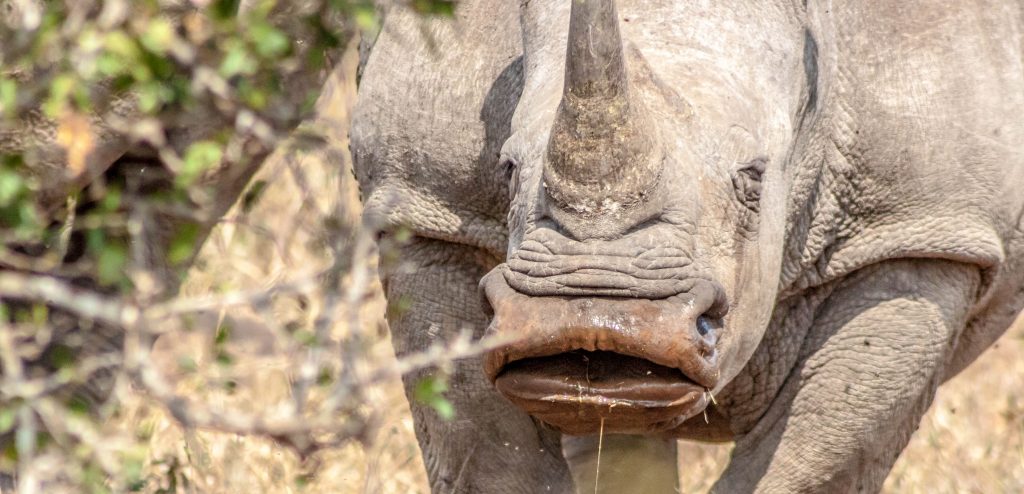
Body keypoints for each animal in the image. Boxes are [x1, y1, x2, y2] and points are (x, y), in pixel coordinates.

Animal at [351, 0, 1024, 491]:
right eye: (508, 167)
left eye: (753, 177)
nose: (589, 317)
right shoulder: (428, 208)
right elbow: (489, 457)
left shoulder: (917, 231)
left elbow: (810, 464)